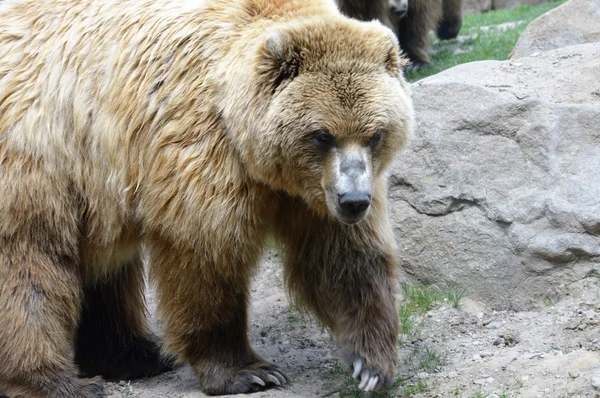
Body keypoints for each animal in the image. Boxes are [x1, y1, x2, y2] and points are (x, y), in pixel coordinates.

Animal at [0, 0, 412, 396]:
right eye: (323, 135)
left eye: (375, 134)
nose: (354, 201)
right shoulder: (201, 144)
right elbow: (207, 254)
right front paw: (248, 372)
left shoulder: (315, 193)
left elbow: (343, 256)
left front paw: (371, 363)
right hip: (41, 155)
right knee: (31, 262)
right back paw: (57, 381)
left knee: (106, 271)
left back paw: (135, 356)